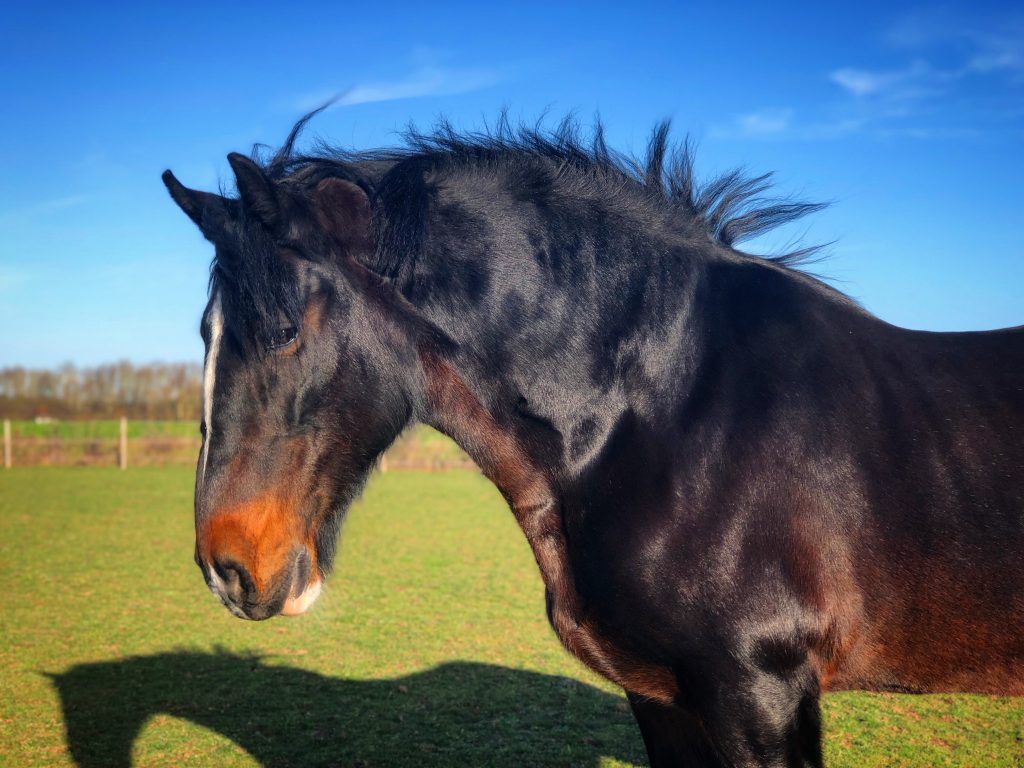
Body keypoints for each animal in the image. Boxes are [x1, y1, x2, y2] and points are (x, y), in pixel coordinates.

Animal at [162, 113, 1024, 767]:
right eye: (202, 334)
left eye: (282, 330)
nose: (225, 569)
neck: (671, 415)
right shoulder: (663, 696)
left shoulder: (764, 690)